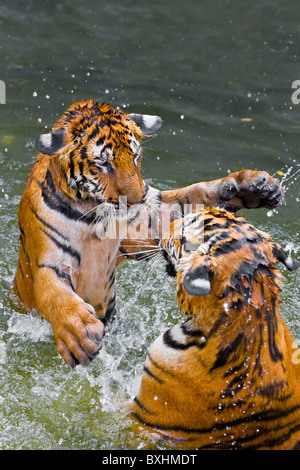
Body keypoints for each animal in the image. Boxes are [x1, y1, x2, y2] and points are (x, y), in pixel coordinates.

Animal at [13, 99, 284, 370]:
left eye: (135, 156)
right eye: (103, 163)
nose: (137, 199)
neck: (93, 214)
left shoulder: (149, 221)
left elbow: (191, 196)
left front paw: (253, 185)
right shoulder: (46, 263)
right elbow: (55, 296)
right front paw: (79, 335)